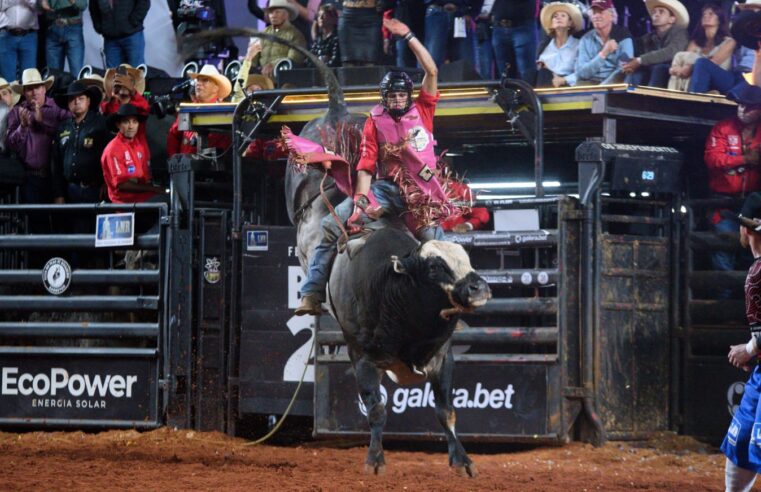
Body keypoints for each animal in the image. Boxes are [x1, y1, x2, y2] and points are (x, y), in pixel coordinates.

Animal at [330, 228, 490, 476]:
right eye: (433, 267)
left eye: (468, 259)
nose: (479, 288)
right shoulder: (364, 360)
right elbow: (376, 411)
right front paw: (375, 461)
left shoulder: (442, 359)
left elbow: (446, 411)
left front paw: (462, 461)